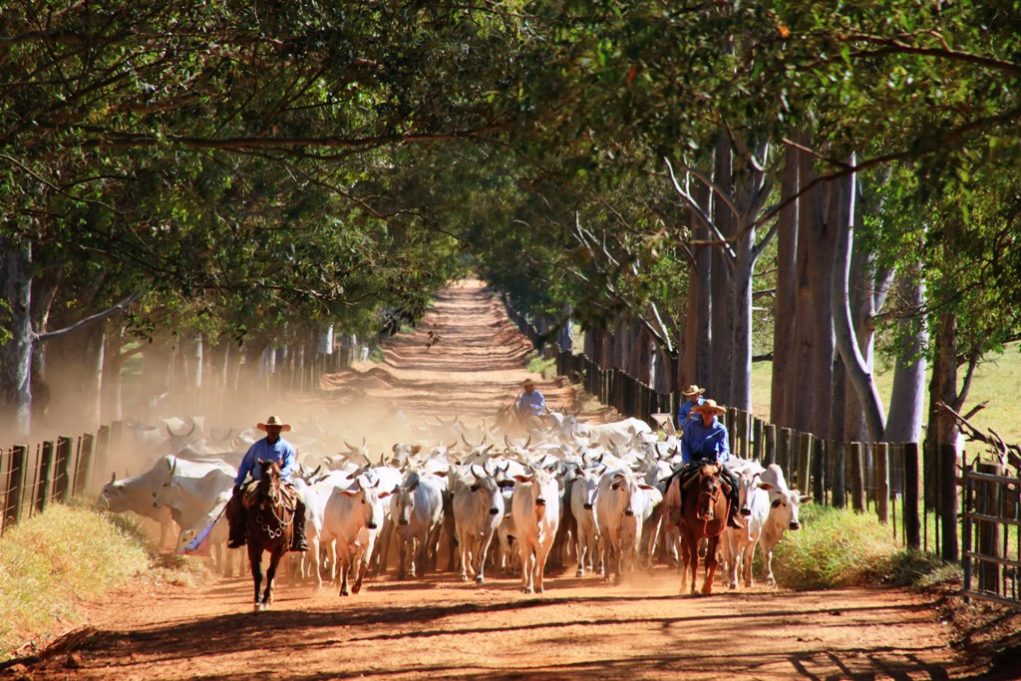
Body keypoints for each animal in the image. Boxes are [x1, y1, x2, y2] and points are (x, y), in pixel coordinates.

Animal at [246, 457, 296, 612]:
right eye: (263, 476)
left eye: (279, 475)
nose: (270, 497)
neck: (270, 518)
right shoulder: (254, 545)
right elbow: (259, 572)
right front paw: (257, 601)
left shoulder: (280, 547)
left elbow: (271, 571)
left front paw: (266, 599)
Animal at [673, 463, 731, 596]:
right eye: (700, 488)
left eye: (716, 488)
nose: (706, 513)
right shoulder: (690, 533)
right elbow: (694, 560)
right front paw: (693, 588)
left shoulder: (717, 534)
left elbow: (713, 560)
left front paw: (707, 586)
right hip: (686, 534)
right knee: (686, 557)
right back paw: (683, 585)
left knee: (707, 559)